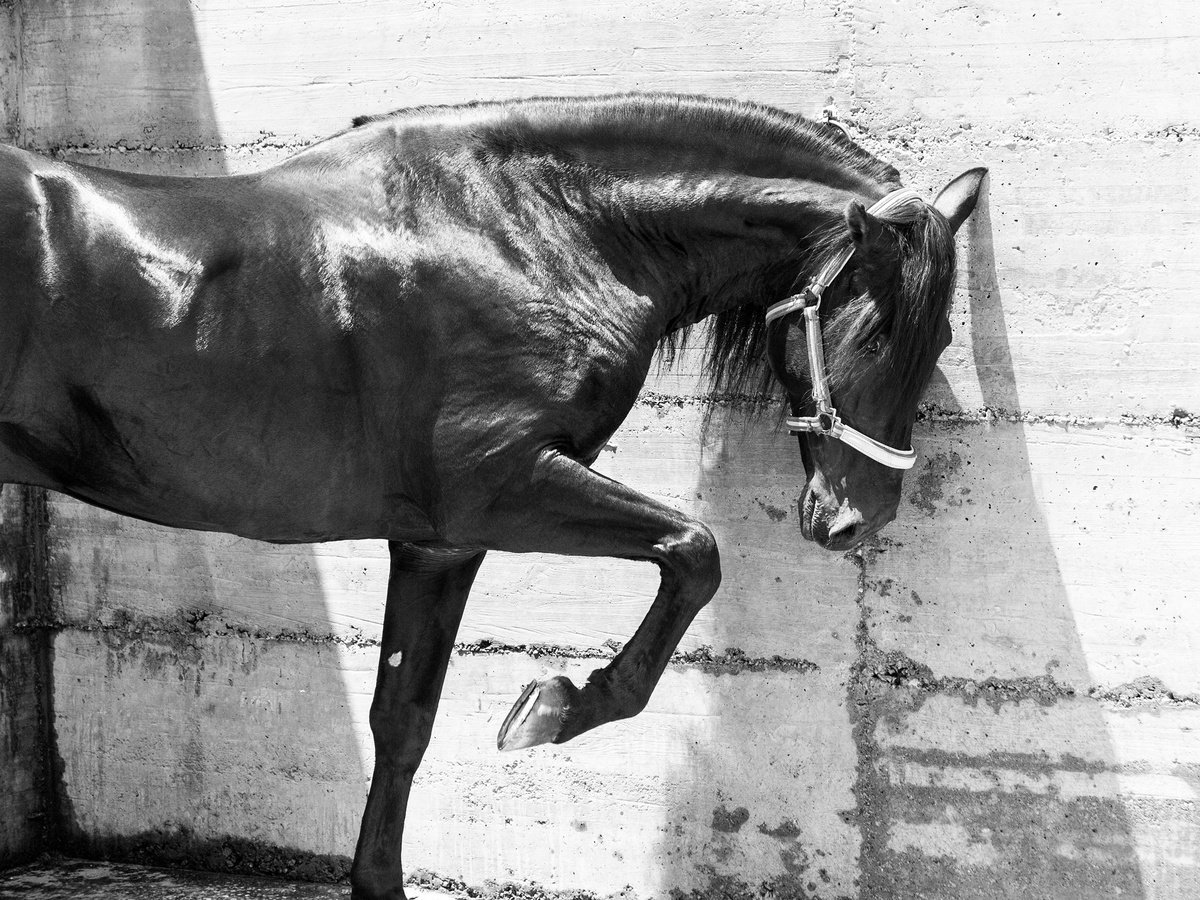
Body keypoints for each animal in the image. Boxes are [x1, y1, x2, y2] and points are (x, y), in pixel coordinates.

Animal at [0, 93, 984, 899]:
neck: (532, 230)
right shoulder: (501, 487)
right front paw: (558, 705)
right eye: (877, 329)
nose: (858, 518)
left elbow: (402, 721)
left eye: (937, 339)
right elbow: (695, 552)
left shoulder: (439, 542)